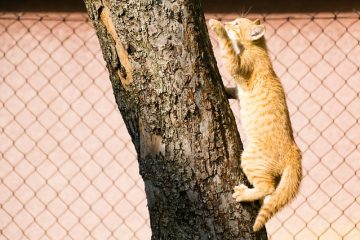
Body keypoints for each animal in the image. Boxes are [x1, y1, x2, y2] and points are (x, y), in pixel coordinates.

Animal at [210, 17, 302, 232]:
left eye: (236, 24)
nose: (227, 22)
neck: (259, 48)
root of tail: (294, 152)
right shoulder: (238, 88)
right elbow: (232, 90)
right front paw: (223, 89)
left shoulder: (237, 65)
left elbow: (227, 49)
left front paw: (216, 26)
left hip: (250, 158)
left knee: (267, 188)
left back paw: (243, 194)